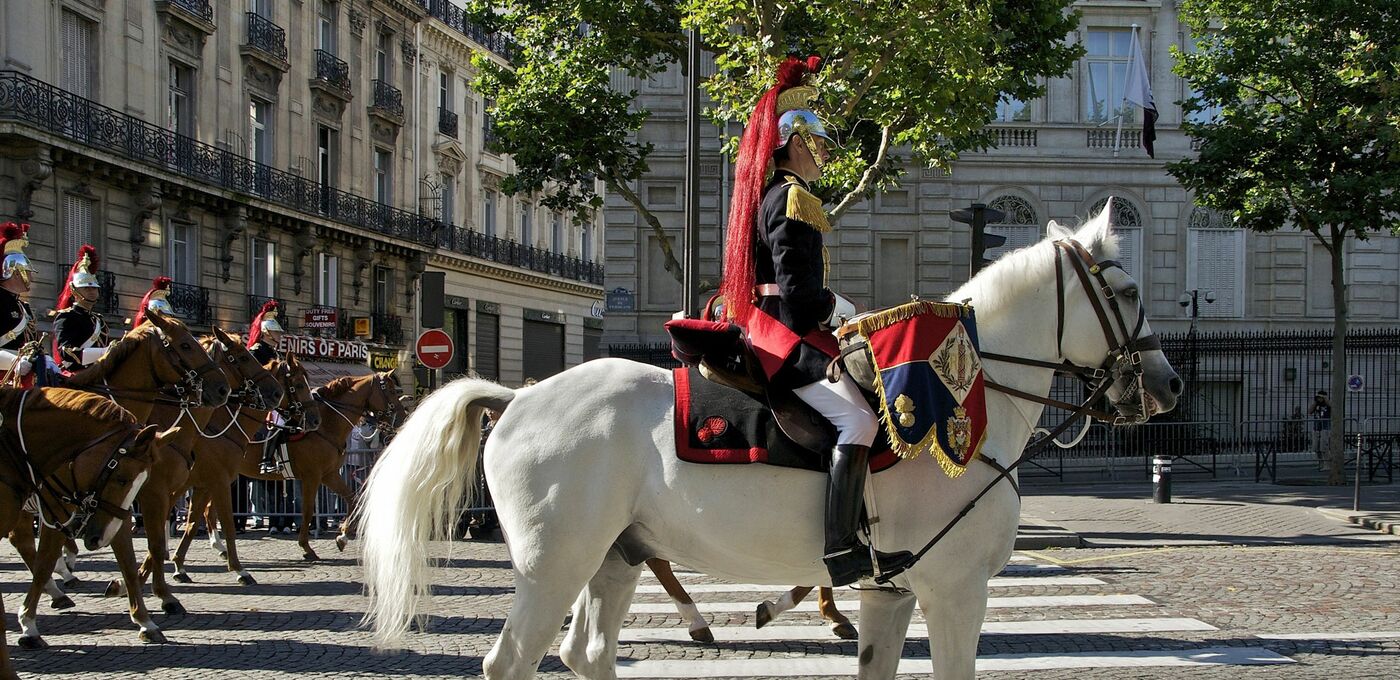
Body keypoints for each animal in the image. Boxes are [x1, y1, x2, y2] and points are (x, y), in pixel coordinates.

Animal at [0, 386, 176, 677]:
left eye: (141, 480)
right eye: (122, 479)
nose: (97, 539)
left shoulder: (116, 518)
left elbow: (129, 563)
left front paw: (145, 621)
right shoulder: (55, 513)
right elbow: (43, 565)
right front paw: (29, 626)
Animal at [173, 351, 320, 584]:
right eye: (298, 384)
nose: (315, 419)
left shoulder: (205, 484)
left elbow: (192, 522)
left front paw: (178, 565)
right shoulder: (217, 482)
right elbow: (226, 522)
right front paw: (240, 570)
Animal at [355, 204, 1176, 677]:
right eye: (1129, 290)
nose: (1168, 386)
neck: (961, 396)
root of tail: (520, 395)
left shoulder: (890, 593)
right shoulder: (954, 591)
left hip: (615, 557)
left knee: (584, 653)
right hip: (553, 565)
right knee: (512, 661)